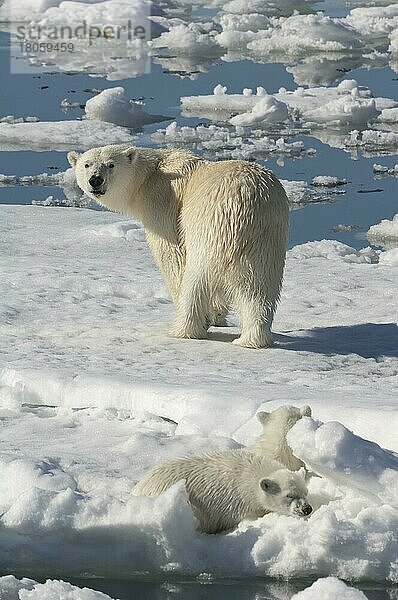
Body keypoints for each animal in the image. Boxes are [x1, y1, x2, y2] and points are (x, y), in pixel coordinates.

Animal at [69, 145, 290, 350]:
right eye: (87, 164)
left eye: (111, 164)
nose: (95, 180)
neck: (151, 176)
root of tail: (246, 202)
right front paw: (218, 315)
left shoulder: (164, 203)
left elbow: (172, 257)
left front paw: (208, 317)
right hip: (266, 239)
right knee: (258, 286)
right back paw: (251, 340)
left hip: (210, 225)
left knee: (196, 277)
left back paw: (183, 330)